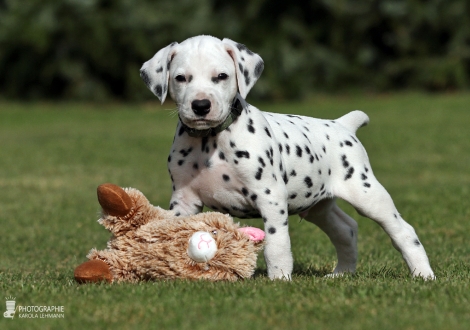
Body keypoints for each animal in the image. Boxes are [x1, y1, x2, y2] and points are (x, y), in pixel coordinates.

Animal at [140, 36, 434, 280]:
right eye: (181, 78)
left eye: (221, 76)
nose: (200, 106)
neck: (210, 141)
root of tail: (342, 125)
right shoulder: (184, 201)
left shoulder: (270, 197)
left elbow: (276, 244)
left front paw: (280, 278)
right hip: (317, 206)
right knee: (346, 229)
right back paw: (342, 273)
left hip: (367, 194)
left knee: (402, 231)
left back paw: (422, 274)